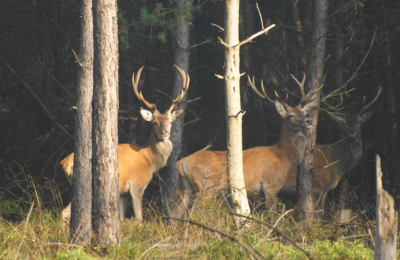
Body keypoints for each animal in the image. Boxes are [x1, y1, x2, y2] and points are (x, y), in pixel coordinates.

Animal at [60, 64, 190, 221]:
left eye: (170, 121)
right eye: (155, 122)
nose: (166, 133)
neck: (149, 160)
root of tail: (64, 163)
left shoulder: (123, 193)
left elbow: (121, 217)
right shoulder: (137, 186)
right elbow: (139, 219)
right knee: (64, 212)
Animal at [172, 73, 318, 219]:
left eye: (304, 113)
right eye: (291, 115)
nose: (309, 121)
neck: (283, 157)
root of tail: (182, 162)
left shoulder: (257, 192)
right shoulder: (270, 185)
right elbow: (272, 215)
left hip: (188, 188)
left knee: (176, 213)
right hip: (207, 186)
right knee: (192, 212)